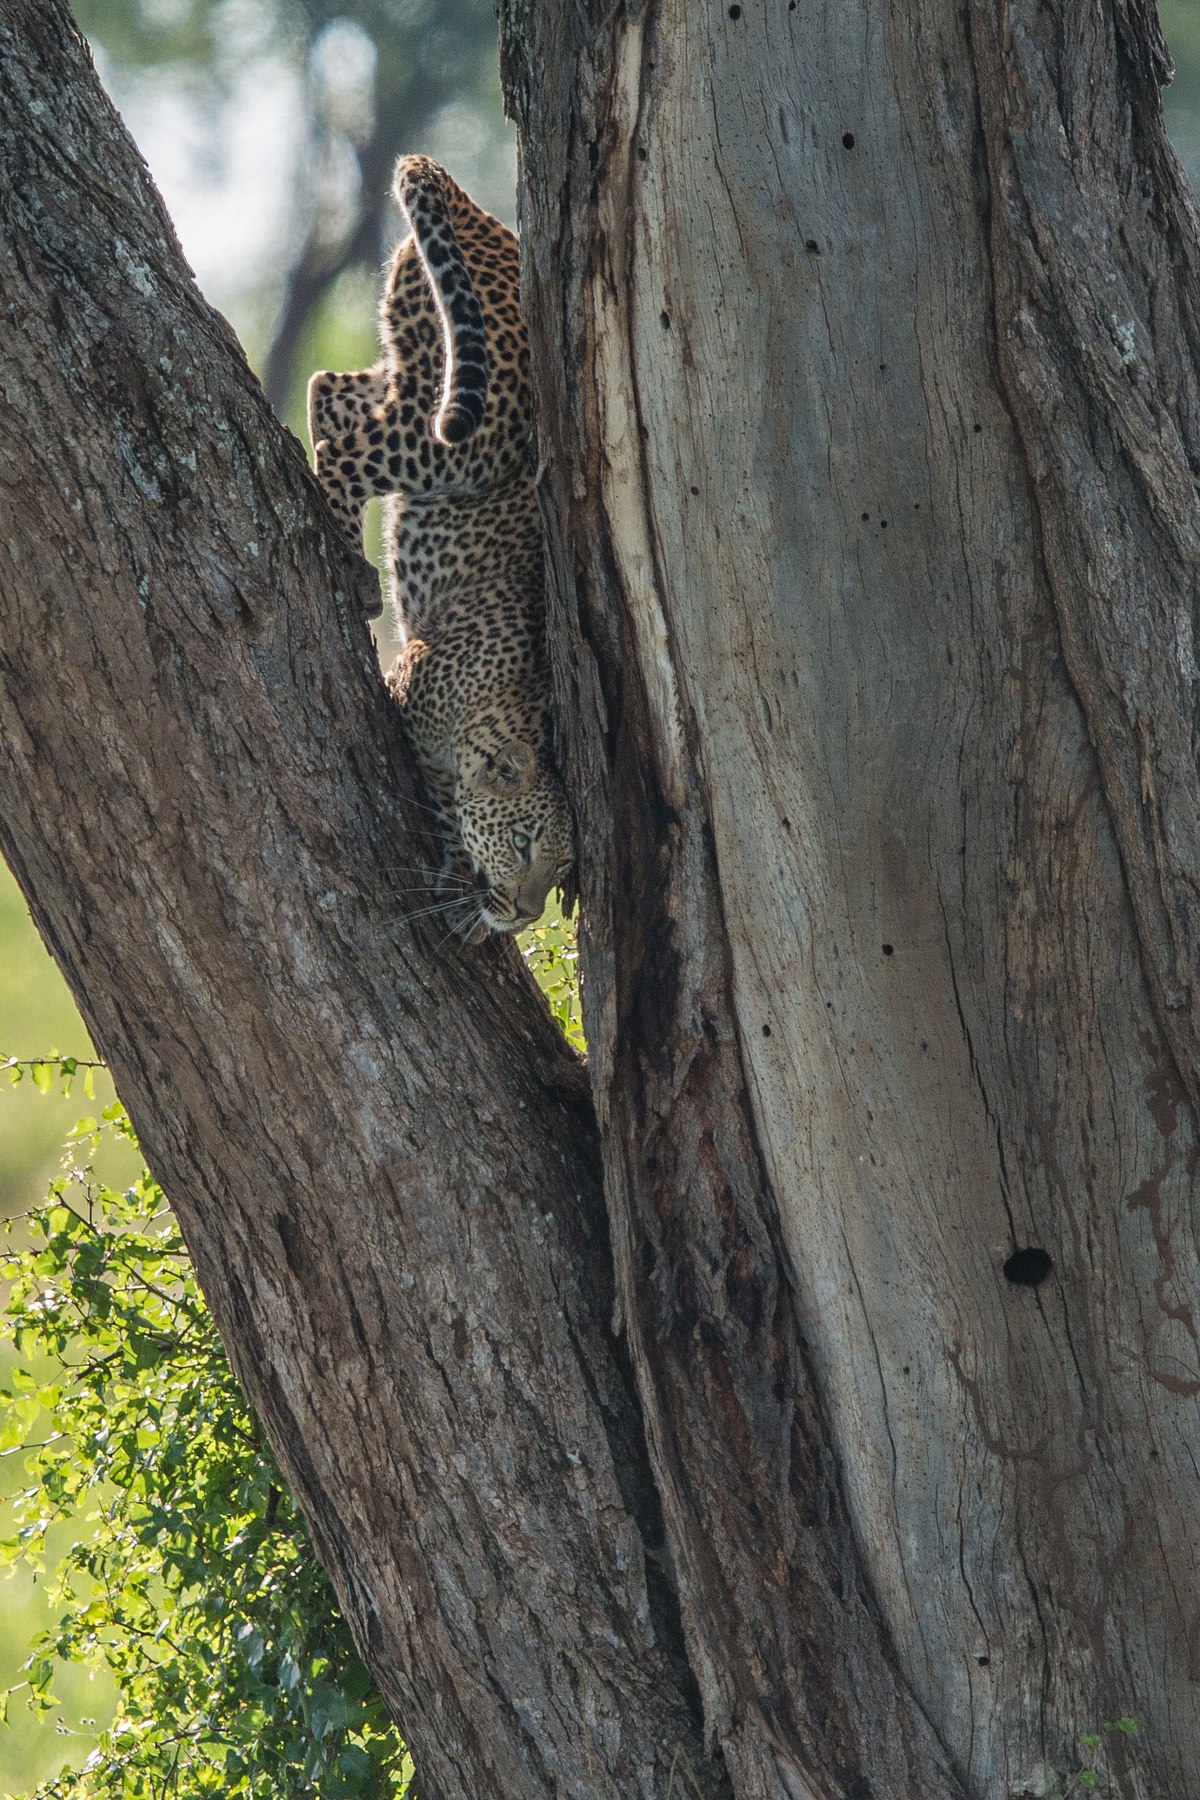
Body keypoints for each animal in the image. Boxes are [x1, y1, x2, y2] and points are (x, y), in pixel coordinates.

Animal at [307, 154, 574, 937]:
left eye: (563, 872)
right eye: (523, 844)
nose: (525, 915)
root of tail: (482, 213)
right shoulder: (404, 692)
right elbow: (448, 812)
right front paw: (462, 883)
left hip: (414, 365)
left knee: (327, 387)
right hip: (464, 433)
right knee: (344, 452)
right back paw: (351, 566)